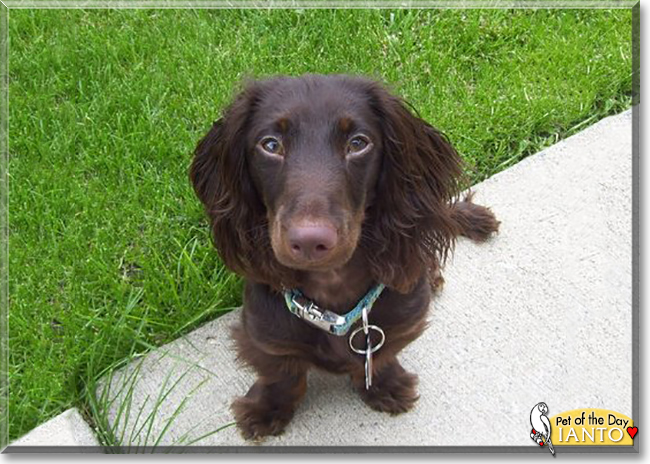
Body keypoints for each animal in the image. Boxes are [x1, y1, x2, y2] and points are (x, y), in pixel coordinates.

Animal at [187, 74, 496, 440]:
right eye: (271, 145)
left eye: (358, 143)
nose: (310, 241)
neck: (331, 300)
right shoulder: (264, 333)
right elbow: (283, 374)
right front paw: (267, 409)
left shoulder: (402, 322)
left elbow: (379, 357)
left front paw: (385, 386)